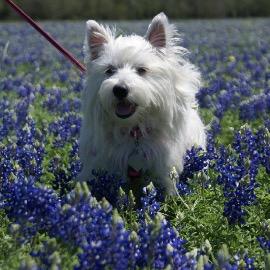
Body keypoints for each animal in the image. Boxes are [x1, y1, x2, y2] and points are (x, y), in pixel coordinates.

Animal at [79, 12, 206, 195]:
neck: (134, 131)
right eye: (110, 70)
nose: (120, 89)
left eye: (141, 70)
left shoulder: (164, 166)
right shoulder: (102, 164)